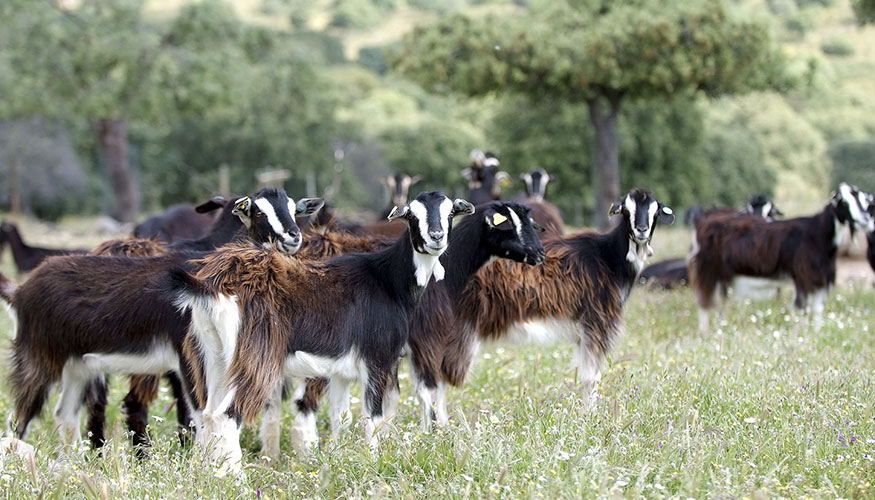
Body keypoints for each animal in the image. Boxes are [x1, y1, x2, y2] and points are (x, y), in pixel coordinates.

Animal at [1, 188, 324, 450]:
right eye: (256, 210)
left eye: (294, 208)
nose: (293, 237)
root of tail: (20, 291)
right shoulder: (187, 356)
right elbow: (198, 414)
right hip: (38, 358)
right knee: (20, 418)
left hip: (77, 366)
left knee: (65, 413)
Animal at [169, 191, 472, 472]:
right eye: (412, 215)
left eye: (450, 212)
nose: (436, 237)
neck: (386, 281)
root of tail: (214, 283)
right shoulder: (377, 359)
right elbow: (372, 417)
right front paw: (373, 462)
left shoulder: (340, 372)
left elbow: (342, 416)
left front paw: (339, 460)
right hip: (254, 356)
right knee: (228, 414)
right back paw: (237, 479)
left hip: (213, 354)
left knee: (209, 413)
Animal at [288, 199, 548, 454]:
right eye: (507, 225)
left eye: (531, 223)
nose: (539, 253)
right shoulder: (425, 341)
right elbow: (429, 390)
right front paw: (432, 435)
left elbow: (397, 395)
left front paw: (395, 436)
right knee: (304, 399)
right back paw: (309, 452)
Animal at [692, 182, 875, 330]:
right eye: (844, 202)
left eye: (864, 201)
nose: (865, 219)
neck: (818, 235)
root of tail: (705, 221)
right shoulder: (803, 276)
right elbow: (802, 308)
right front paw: (800, 334)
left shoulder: (820, 280)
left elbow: (817, 310)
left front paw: (814, 334)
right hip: (708, 269)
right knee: (704, 302)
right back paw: (705, 332)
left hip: (724, 276)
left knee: (719, 303)